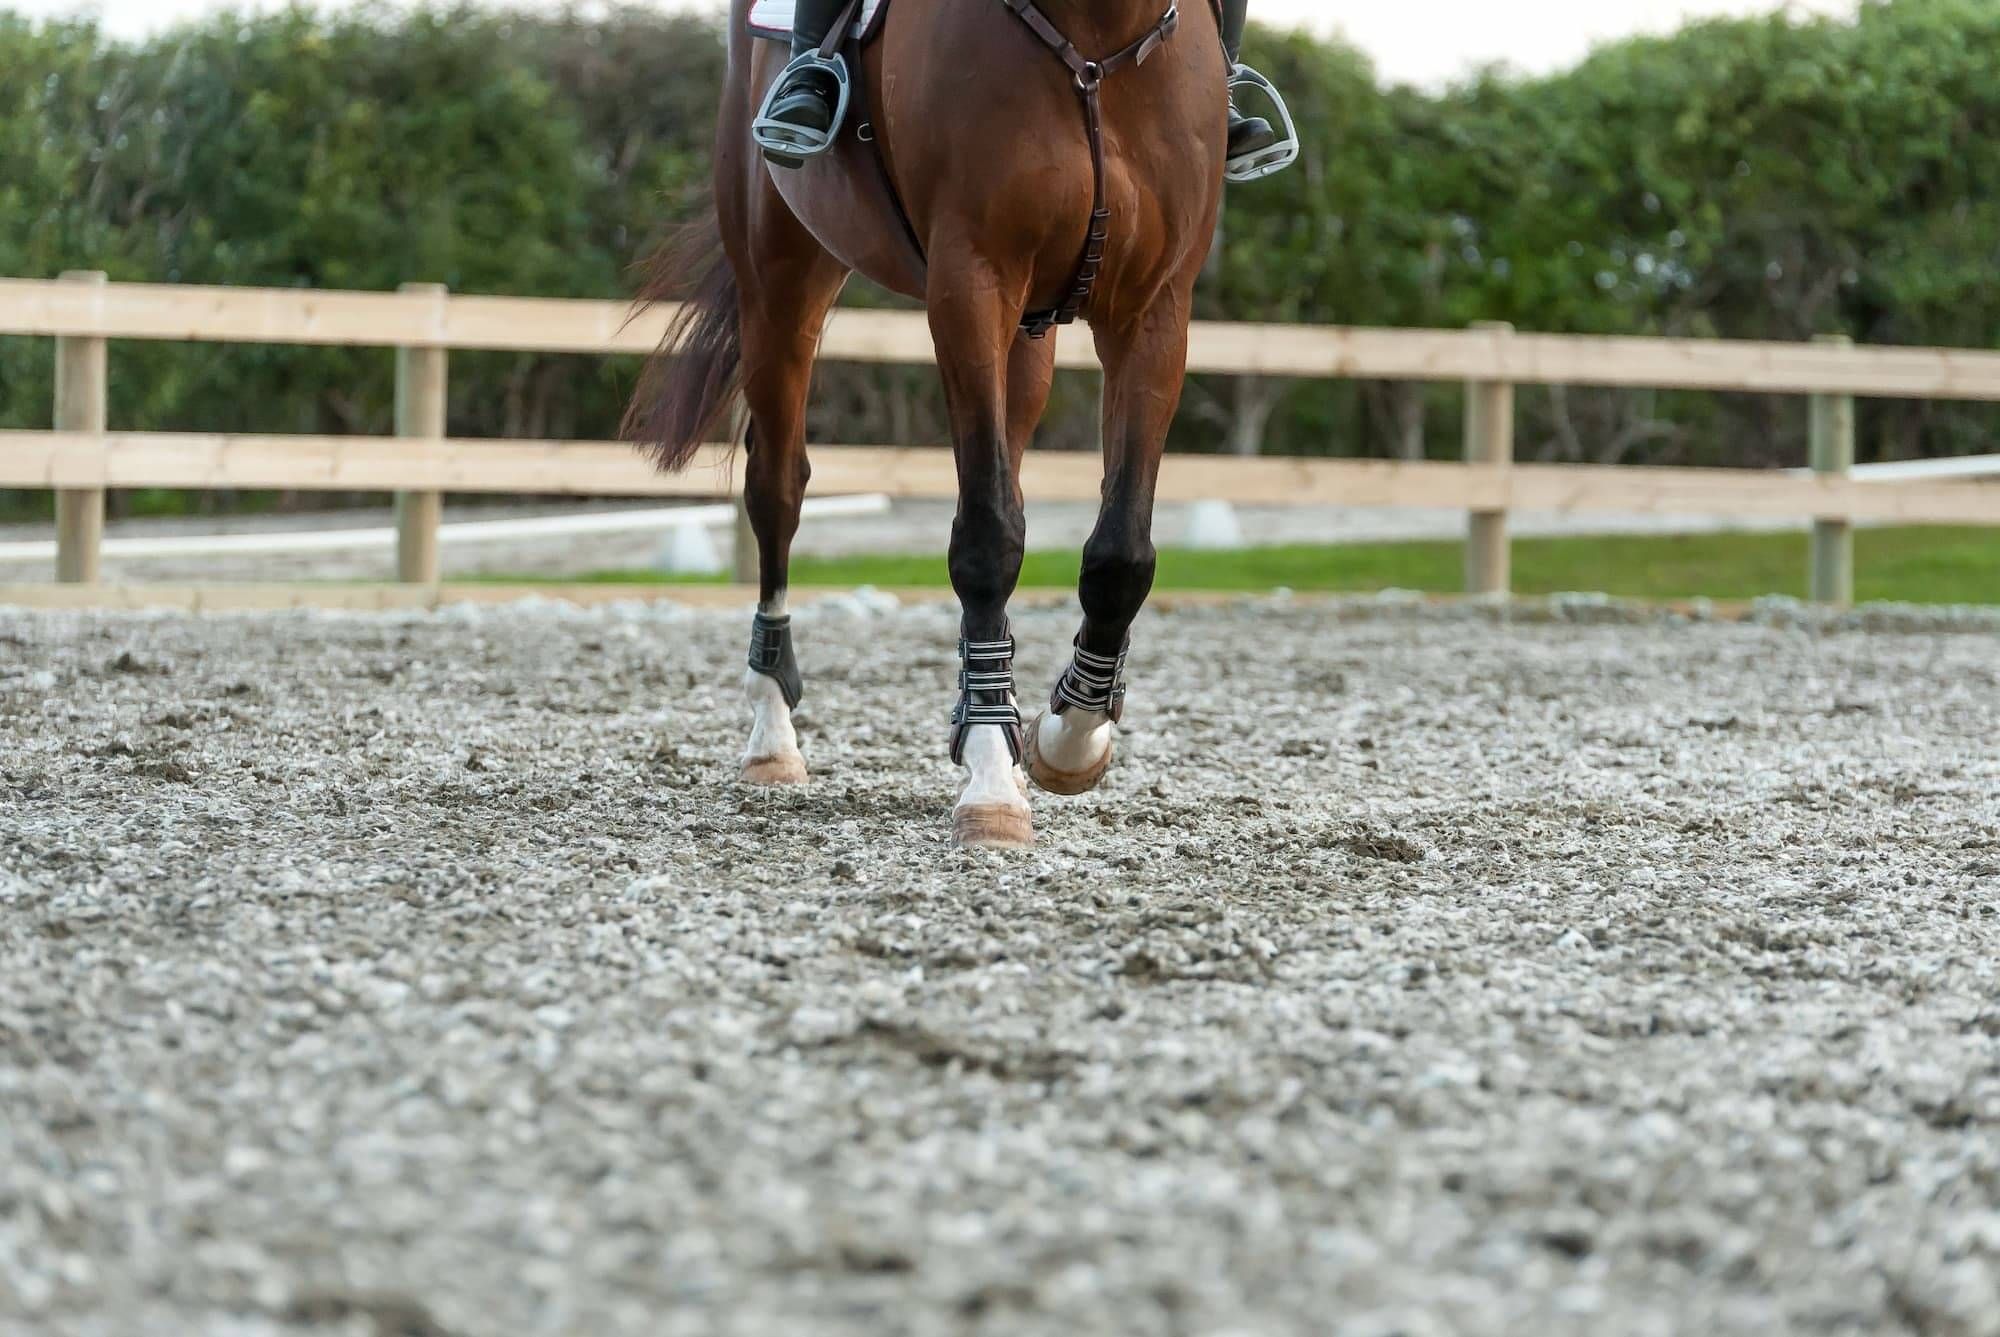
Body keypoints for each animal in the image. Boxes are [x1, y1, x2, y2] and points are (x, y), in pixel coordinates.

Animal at [624, 0, 1230, 849]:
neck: (1095, 35)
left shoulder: (1155, 311)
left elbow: (1120, 555)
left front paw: (1065, 738)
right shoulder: (971, 282)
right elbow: (987, 537)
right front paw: (992, 778)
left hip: (1029, 334)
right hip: (780, 285)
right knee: (777, 489)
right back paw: (774, 735)